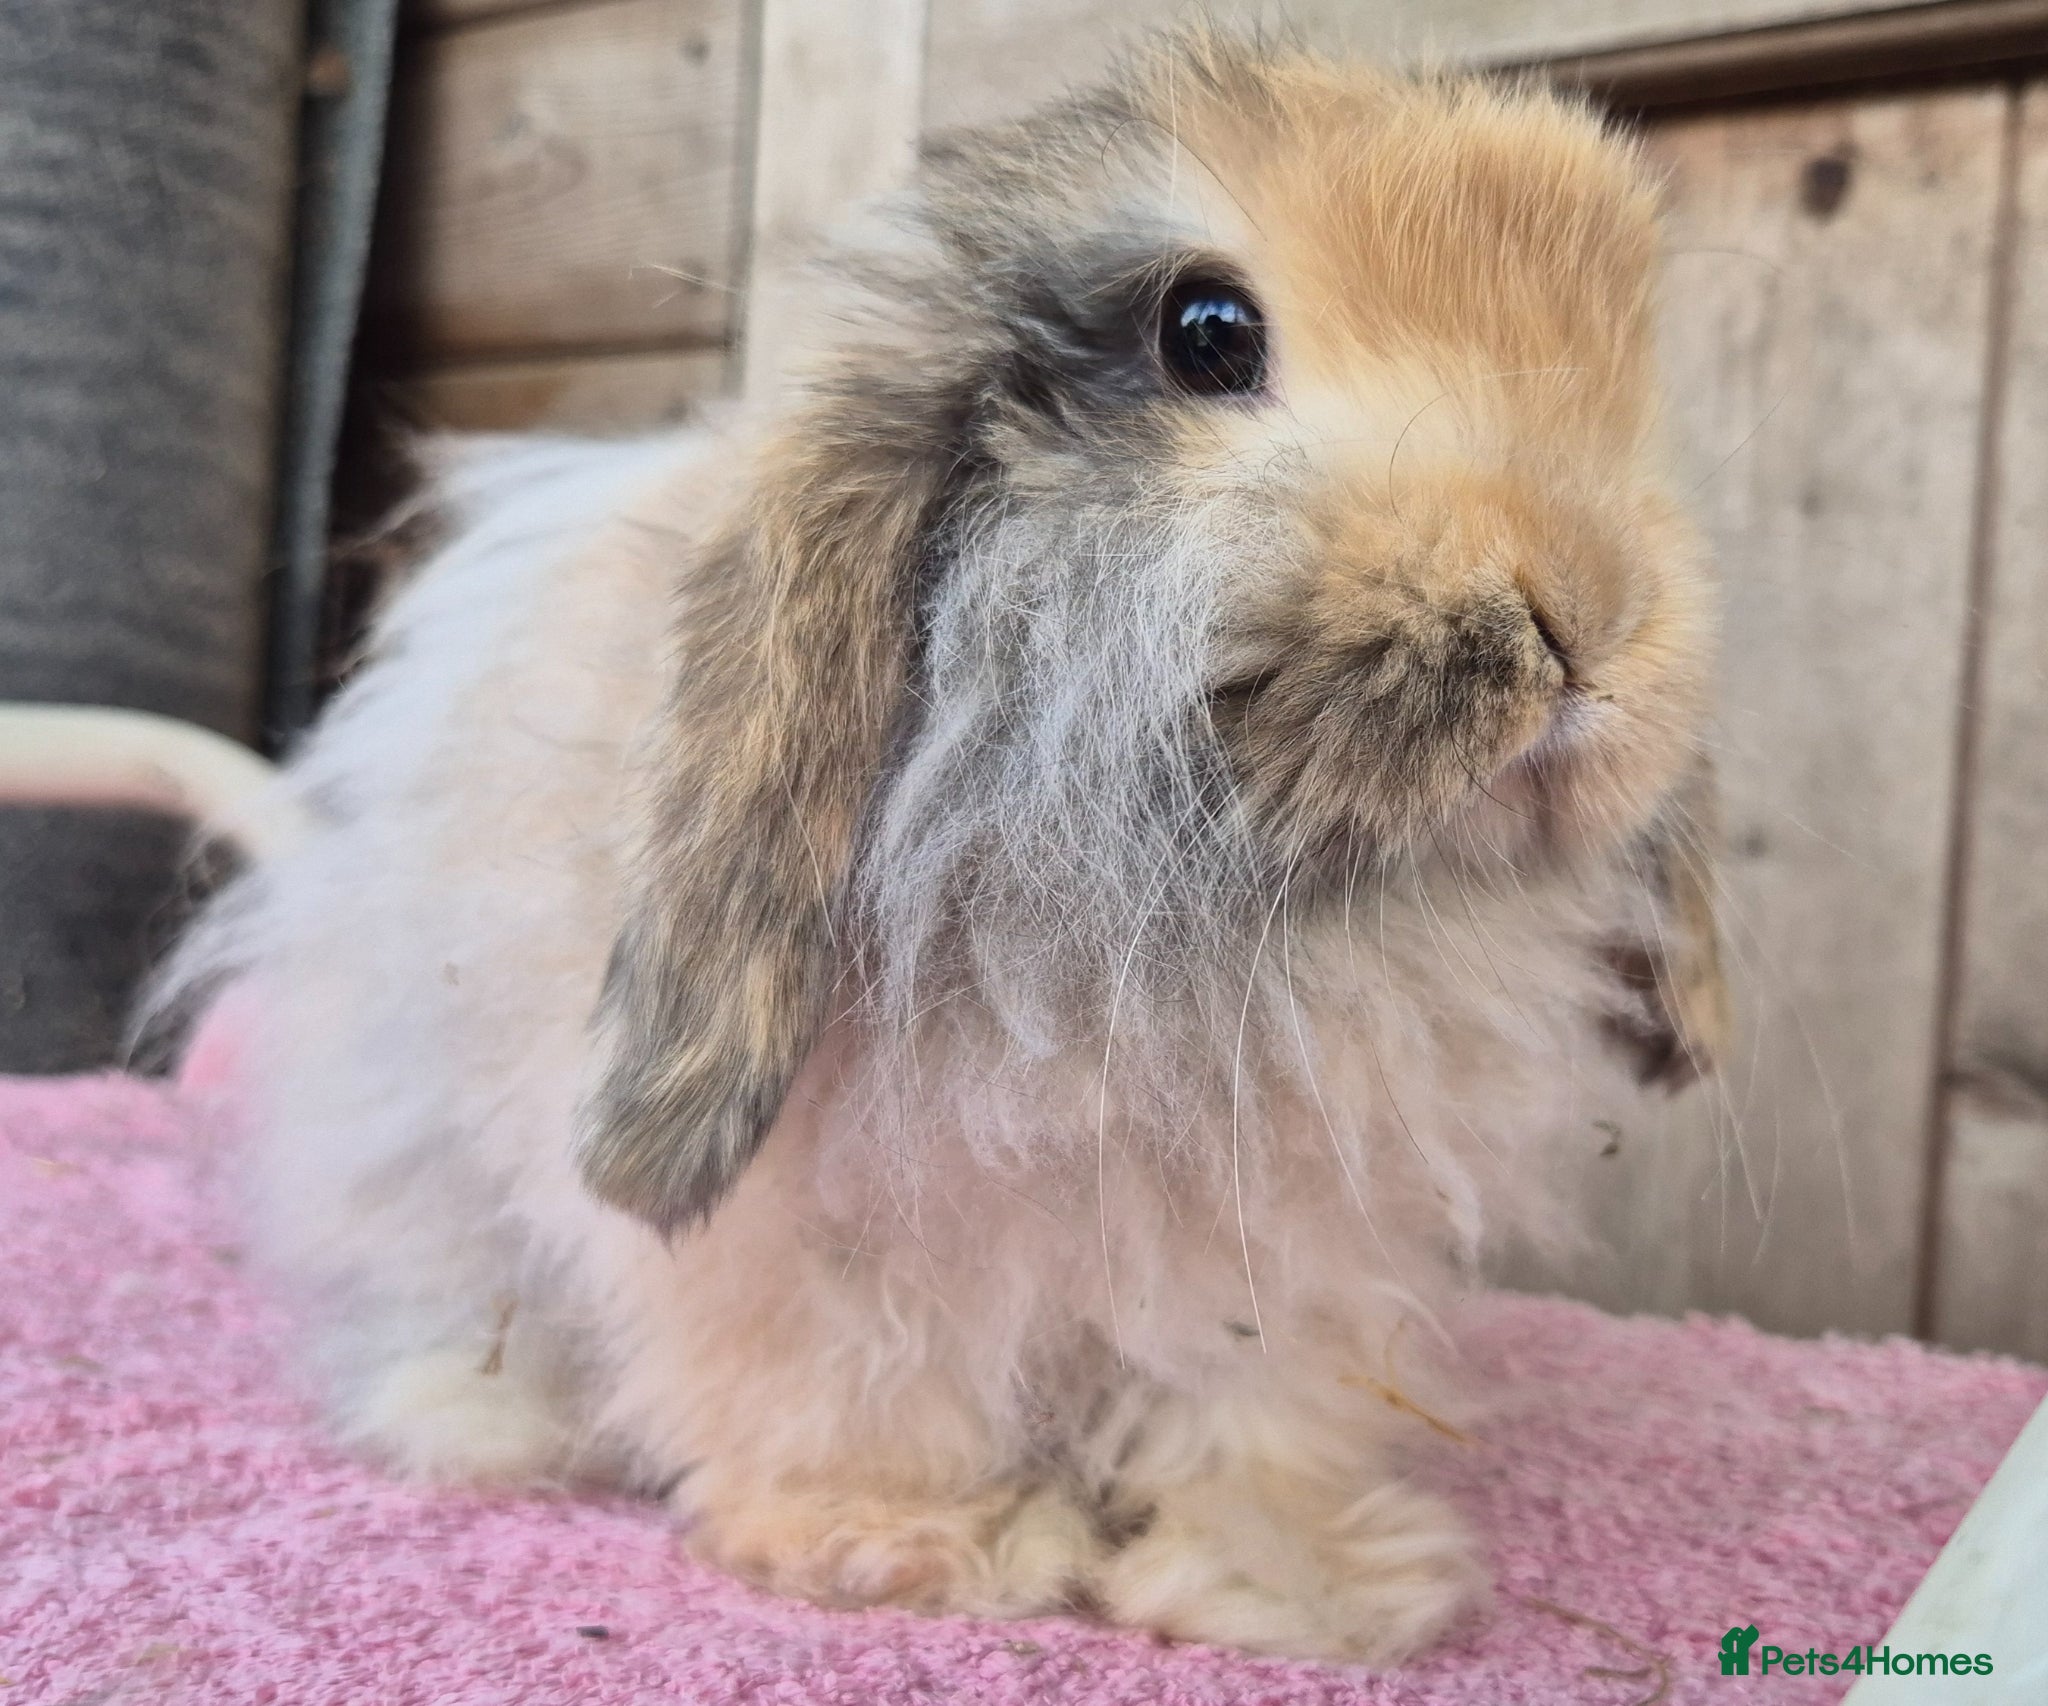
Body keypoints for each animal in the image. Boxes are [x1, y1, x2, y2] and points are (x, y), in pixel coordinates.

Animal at [163, 31, 1727, 1664]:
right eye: (1207, 334)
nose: (1587, 614)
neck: (1237, 905)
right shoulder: (817, 1244)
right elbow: (856, 1381)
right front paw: (920, 1545)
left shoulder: (1284, 1262)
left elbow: (1250, 1421)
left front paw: (1304, 1592)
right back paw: (483, 1417)